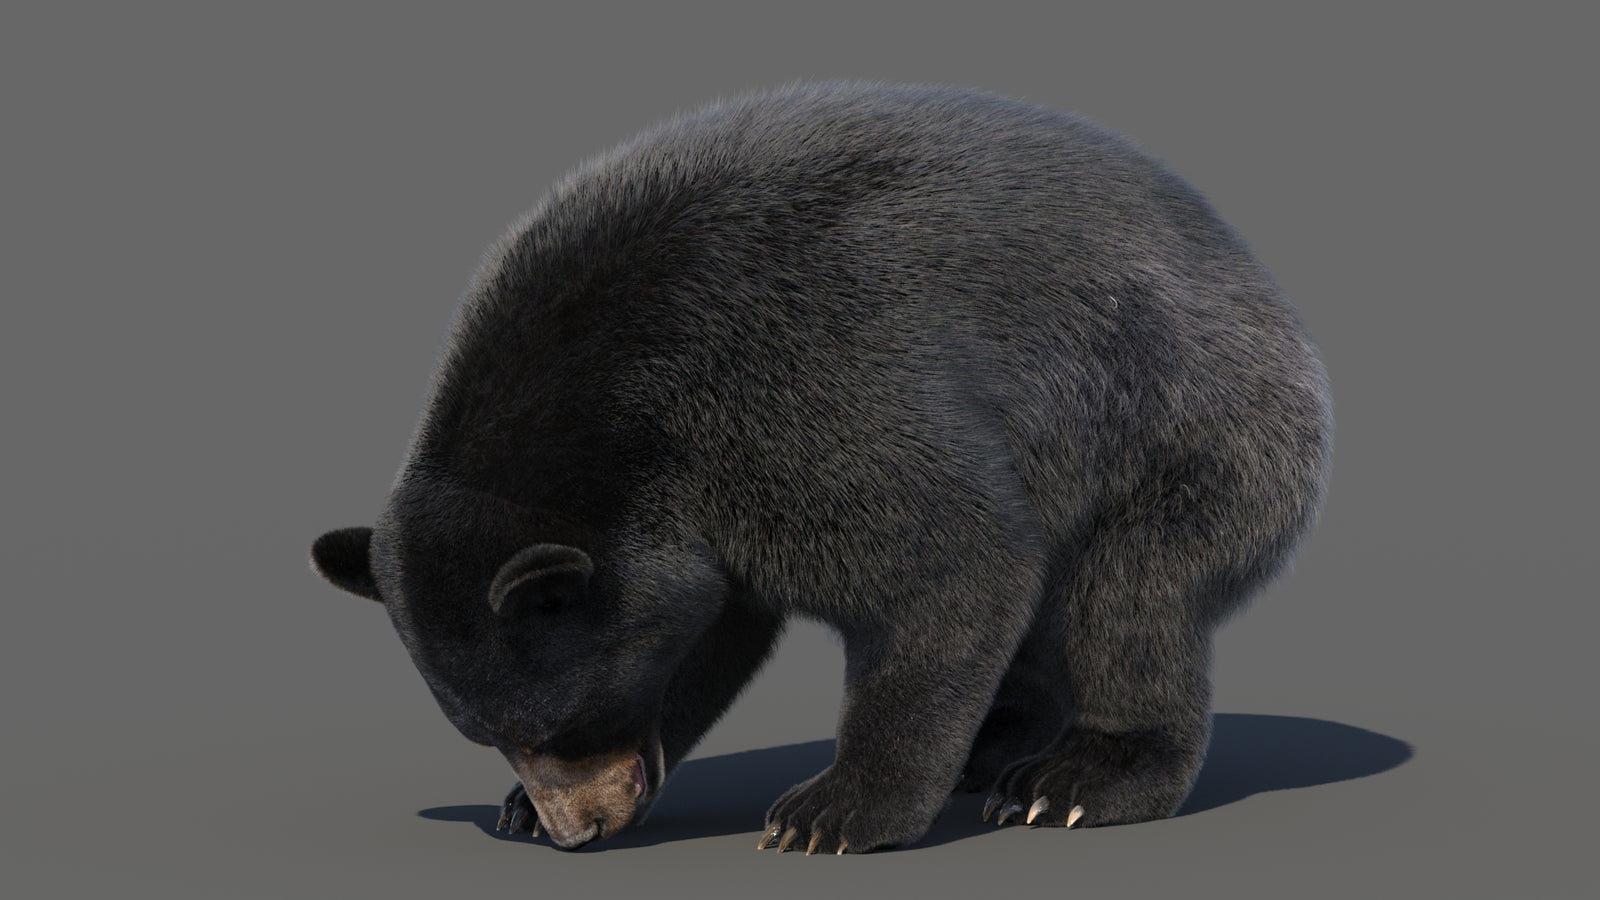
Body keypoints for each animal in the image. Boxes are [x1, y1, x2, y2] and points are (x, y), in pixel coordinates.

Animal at [310, 81, 1332, 854]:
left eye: (563, 724)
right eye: (493, 734)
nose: (580, 829)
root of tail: (1267, 290)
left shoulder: (797, 390)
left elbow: (952, 560)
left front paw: (832, 811)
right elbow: (709, 631)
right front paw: (521, 806)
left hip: (1182, 428)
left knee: (1127, 600)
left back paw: (1073, 779)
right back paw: (995, 744)